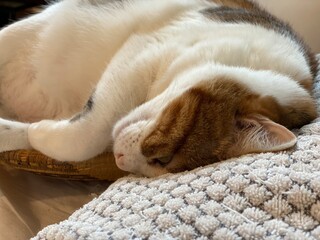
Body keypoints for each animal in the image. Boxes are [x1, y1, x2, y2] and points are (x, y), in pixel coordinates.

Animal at [0, 0, 316, 176]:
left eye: (160, 164)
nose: (120, 160)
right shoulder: (145, 50)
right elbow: (89, 134)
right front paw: (38, 131)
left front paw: (27, 131)